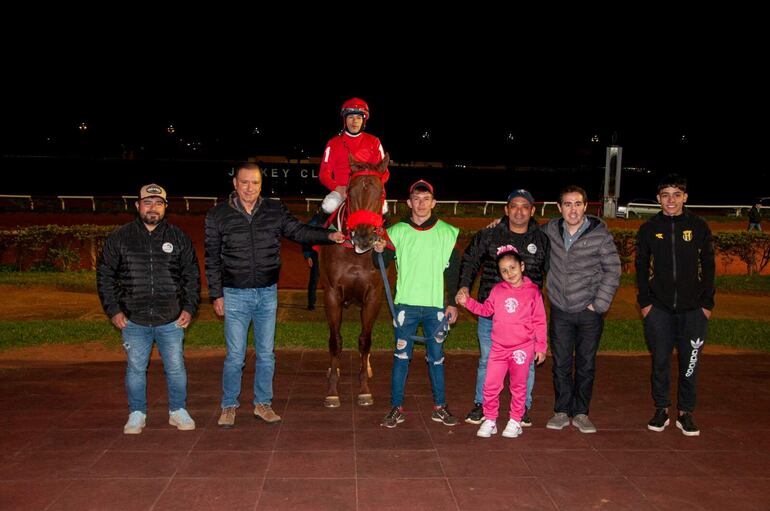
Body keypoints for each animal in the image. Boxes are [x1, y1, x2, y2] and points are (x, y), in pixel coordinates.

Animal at [320, 153, 388, 408]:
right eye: (349, 190)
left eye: (381, 192)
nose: (363, 237)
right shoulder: (331, 295)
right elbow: (335, 340)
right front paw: (332, 389)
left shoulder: (373, 296)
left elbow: (365, 340)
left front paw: (364, 389)